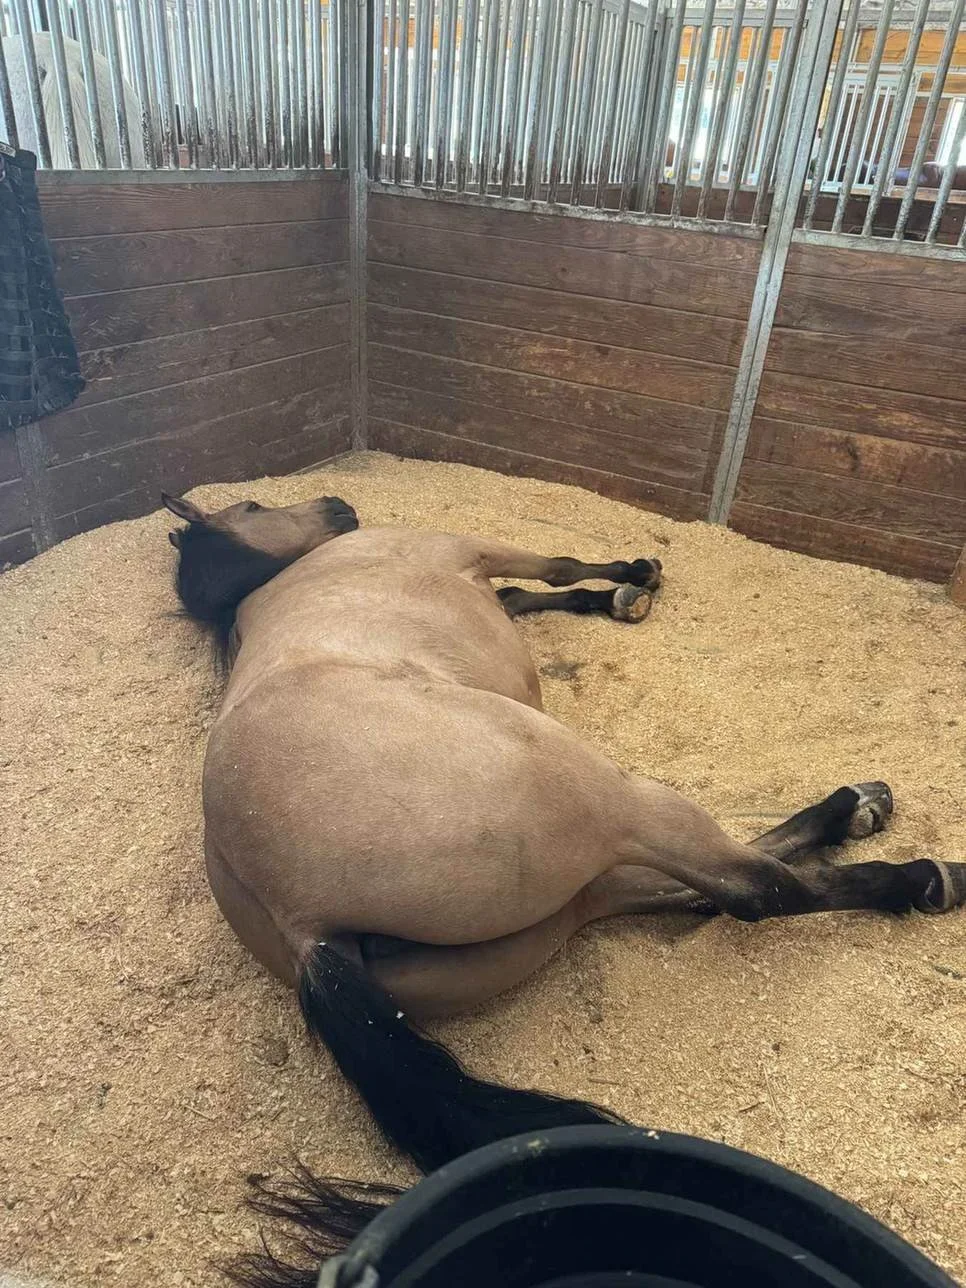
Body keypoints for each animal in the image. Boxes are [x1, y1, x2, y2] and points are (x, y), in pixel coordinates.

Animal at [161, 488, 966, 1286]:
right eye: (253, 505)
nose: (338, 505)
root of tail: (306, 931)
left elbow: (523, 594)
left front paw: (618, 597)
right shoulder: (470, 546)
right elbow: (554, 564)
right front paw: (633, 577)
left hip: (575, 898)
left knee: (698, 889)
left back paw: (860, 815)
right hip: (614, 802)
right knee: (752, 891)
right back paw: (915, 870)